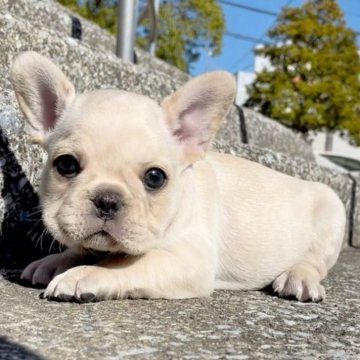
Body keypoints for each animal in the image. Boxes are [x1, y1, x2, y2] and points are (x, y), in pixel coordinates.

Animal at [11, 52, 346, 302]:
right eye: (66, 165)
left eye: (155, 178)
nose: (107, 199)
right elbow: (82, 249)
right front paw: (55, 262)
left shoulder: (189, 258)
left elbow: (127, 261)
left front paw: (85, 274)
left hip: (332, 216)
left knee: (315, 262)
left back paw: (297, 278)